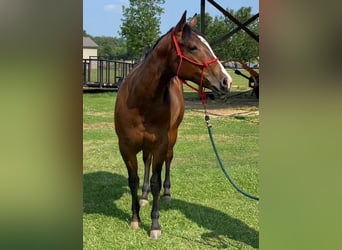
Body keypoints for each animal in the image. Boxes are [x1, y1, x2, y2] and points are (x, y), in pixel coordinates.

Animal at [115, 11, 232, 238]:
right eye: (193, 47)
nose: (226, 81)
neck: (140, 100)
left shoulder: (160, 144)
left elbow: (156, 181)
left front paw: (154, 225)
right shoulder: (126, 147)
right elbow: (133, 180)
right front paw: (135, 218)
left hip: (172, 136)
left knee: (168, 160)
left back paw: (167, 194)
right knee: (147, 161)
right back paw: (144, 197)